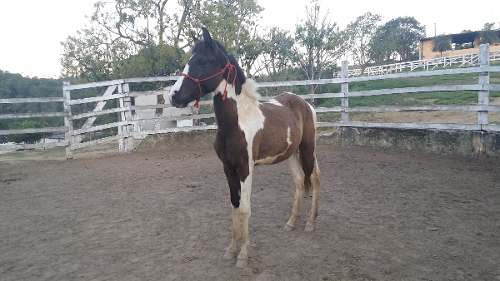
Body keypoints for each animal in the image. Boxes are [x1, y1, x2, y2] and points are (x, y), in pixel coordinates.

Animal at [171, 27, 320, 266]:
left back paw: (310, 224)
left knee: (313, 179)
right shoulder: (228, 168)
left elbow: (245, 208)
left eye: (202, 61)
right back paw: (290, 223)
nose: (174, 96)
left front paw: (242, 256)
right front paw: (231, 250)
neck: (236, 122)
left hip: (307, 150)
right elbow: (234, 205)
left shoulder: (245, 169)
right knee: (299, 181)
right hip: (291, 154)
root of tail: (305, 103)